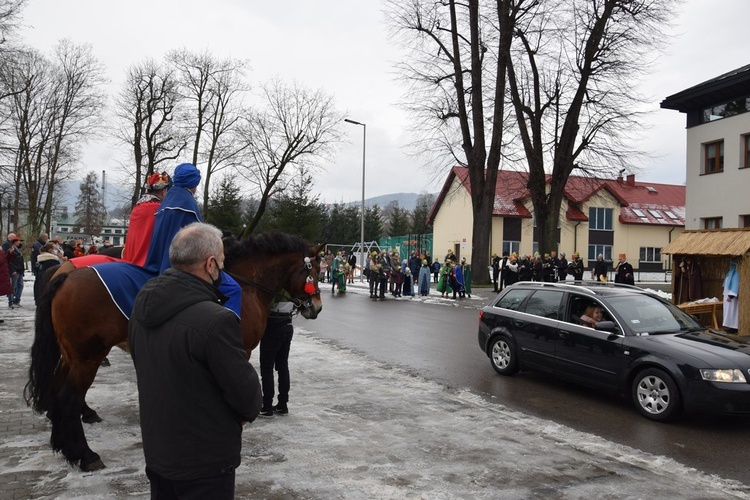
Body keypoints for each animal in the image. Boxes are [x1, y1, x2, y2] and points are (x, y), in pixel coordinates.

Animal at [22, 232, 324, 470]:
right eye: (315, 271)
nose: (317, 307)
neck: (247, 282)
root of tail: (66, 275)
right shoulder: (239, 351)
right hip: (87, 358)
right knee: (68, 399)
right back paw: (85, 455)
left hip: (71, 356)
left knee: (57, 391)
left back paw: (63, 445)